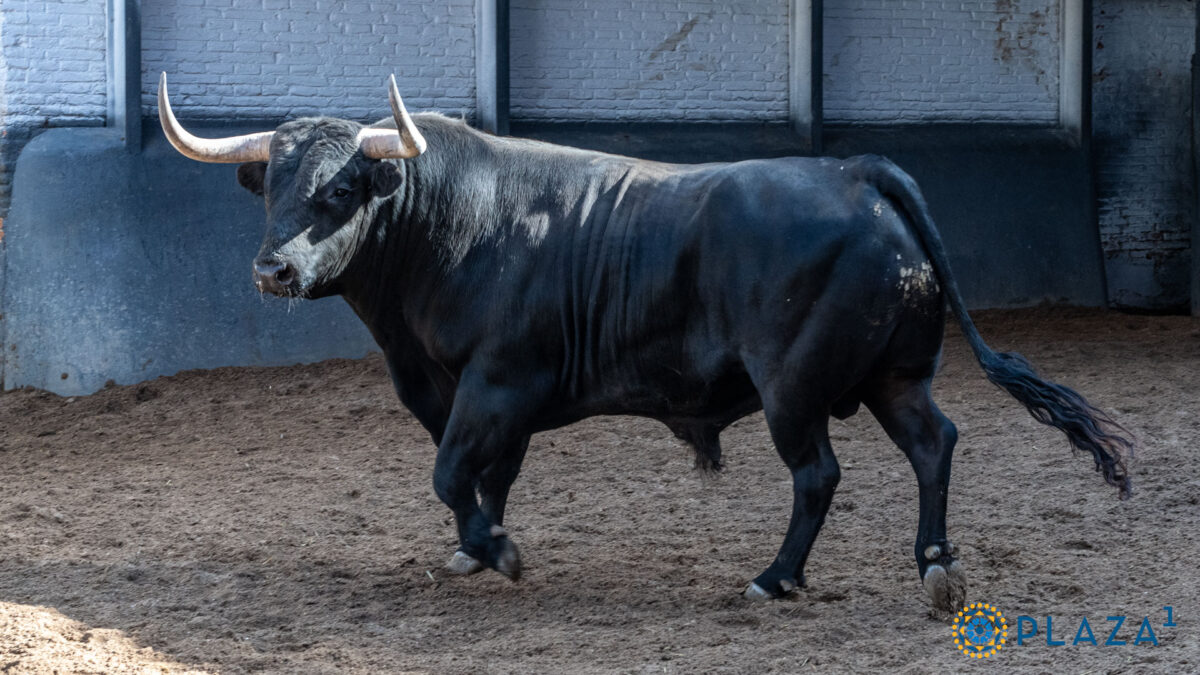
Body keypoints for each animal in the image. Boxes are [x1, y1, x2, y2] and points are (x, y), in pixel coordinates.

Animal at [180, 111, 1132, 610]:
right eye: (272, 186)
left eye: (342, 188)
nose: (273, 269)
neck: (453, 220)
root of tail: (856, 172)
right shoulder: (478, 399)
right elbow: (487, 477)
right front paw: (476, 548)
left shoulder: (498, 382)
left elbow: (454, 475)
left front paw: (496, 550)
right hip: (893, 377)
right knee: (934, 443)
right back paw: (934, 563)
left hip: (794, 388)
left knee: (818, 474)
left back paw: (776, 577)